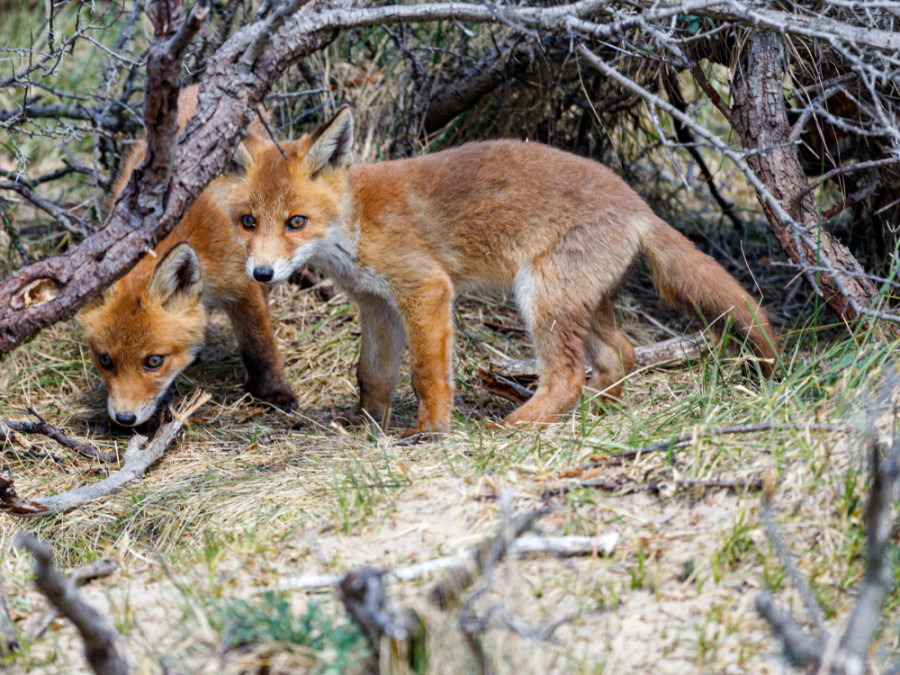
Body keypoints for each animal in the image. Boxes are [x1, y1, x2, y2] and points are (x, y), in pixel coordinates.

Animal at [77, 84, 296, 428]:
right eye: (105, 360)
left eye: (154, 361)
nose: (124, 418)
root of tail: (194, 87)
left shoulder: (244, 283)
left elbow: (259, 346)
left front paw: (273, 393)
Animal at [220, 105, 780, 434]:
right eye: (248, 221)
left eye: (296, 222)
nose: (262, 274)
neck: (355, 223)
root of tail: (638, 205)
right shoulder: (377, 304)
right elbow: (372, 376)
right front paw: (365, 430)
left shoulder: (425, 290)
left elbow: (427, 376)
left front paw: (428, 434)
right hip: (580, 300)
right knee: (620, 354)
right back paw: (597, 414)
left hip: (540, 298)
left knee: (566, 375)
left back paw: (516, 425)